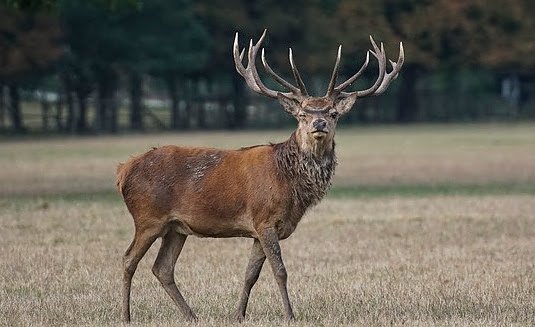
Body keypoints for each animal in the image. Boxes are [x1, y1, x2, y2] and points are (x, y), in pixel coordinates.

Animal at [116, 30, 402, 322]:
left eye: (333, 113)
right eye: (302, 114)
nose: (319, 123)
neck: (290, 185)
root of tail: (124, 170)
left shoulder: (258, 230)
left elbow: (250, 275)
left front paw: (238, 315)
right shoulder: (265, 219)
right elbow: (280, 271)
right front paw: (290, 315)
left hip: (175, 227)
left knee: (162, 267)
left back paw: (191, 316)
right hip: (148, 218)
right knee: (128, 259)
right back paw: (126, 316)